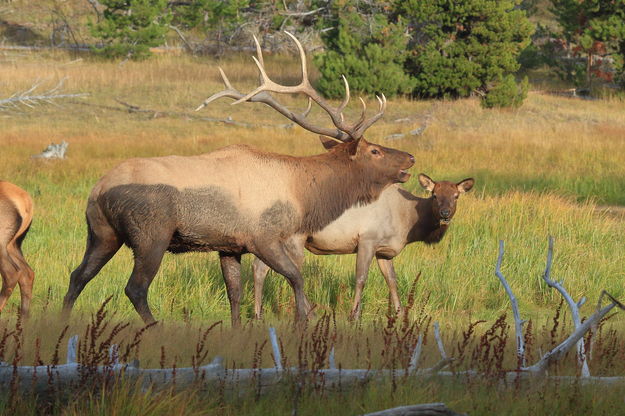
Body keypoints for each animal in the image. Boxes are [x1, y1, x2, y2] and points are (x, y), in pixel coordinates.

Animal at [62, 31, 414, 324]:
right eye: (374, 151)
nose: (410, 157)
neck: (305, 193)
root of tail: (98, 191)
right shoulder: (266, 236)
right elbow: (296, 278)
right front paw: (303, 321)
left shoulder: (229, 246)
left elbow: (235, 295)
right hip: (151, 234)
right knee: (134, 288)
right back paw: (153, 327)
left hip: (102, 233)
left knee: (77, 276)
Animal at [252, 171, 472, 320]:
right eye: (434, 195)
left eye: (456, 196)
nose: (445, 214)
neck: (408, 222)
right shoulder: (367, 239)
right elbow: (360, 278)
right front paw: (354, 315)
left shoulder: (384, 251)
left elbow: (392, 280)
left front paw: (400, 313)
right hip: (294, 238)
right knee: (290, 273)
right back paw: (309, 313)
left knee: (261, 267)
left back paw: (258, 314)